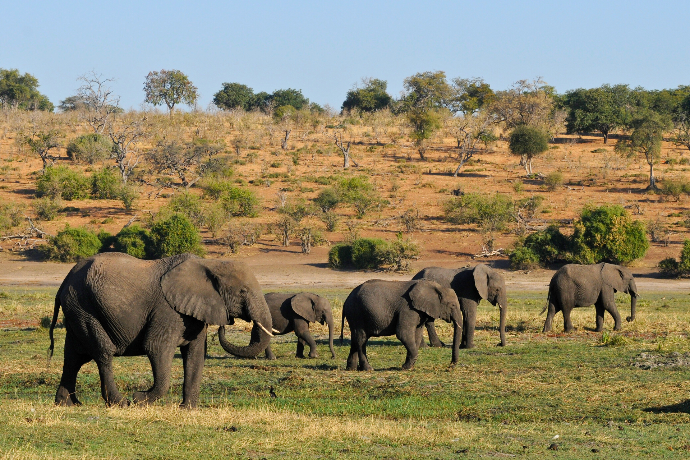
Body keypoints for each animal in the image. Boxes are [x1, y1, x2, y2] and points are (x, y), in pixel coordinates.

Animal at [48, 252, 273, 409]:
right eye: (243, 291)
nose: (226, 323)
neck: (210, 263)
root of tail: (63, 283)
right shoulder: (167, 310)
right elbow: (156, 348)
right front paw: (139, 399)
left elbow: (195, 354)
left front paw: (187, 409)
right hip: (83, 307)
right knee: (102, 352)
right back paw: (120, 403)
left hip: (77, 310)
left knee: (74, 357)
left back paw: (67, 404)